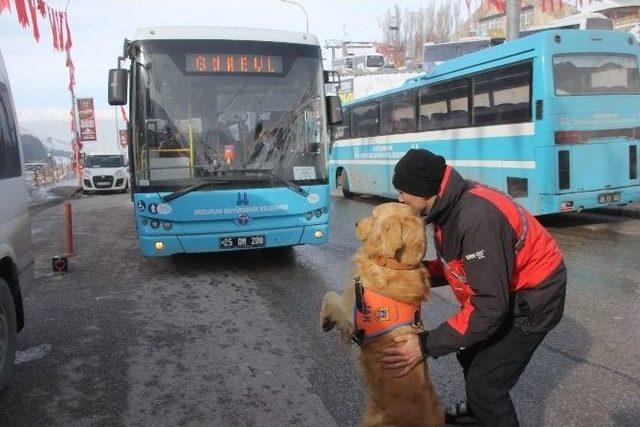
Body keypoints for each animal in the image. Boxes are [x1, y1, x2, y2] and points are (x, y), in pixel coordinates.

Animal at [320, 204, 444, 427]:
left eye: (374, 216)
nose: (356, 224)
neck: (394, 264)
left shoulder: (353, 315)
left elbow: (330, 296)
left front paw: (324, 320)